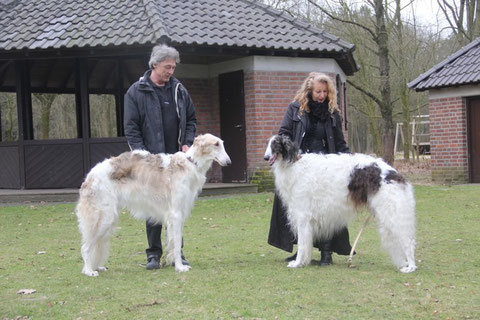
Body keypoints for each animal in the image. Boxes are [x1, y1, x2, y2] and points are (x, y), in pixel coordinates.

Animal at [76, 134, 232, 276]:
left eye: (222, 143)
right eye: (216, 144)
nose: (229, 162)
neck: (191, 163)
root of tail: (89, 177)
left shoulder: (178, 214)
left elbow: (173, 242)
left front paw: (175, 263)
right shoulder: (176, 214)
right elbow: (176, 244)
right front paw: (180, 268)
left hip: (109, 218)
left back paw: (97, 267)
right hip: (104, 217)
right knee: (85, 247)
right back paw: (89, 271)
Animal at [262, 134, 416, 272]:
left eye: (275, 144)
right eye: (267, 144)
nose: (265, 158)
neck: (294, 164)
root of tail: (394, 173)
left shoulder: (303, 215)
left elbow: (301, 244)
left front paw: (297, 263)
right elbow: (306, 243)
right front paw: (304, 262)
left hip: (392, 214)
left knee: (408, 241)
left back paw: (411, 267)